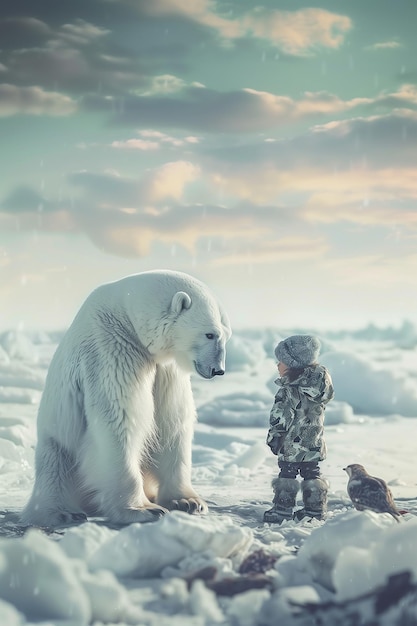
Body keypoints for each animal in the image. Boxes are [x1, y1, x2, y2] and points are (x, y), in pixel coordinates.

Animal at [21, 270, 231, 528]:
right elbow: (120, 419)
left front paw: (188, 501)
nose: (218, 370)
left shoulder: (166, 370)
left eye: (227, 336)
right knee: (54, 469)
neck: (126, 317)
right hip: (57, 443)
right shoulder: (111, 349)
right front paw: (143, 509)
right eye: (210, 334)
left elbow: (172, 421)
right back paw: (62, 512)